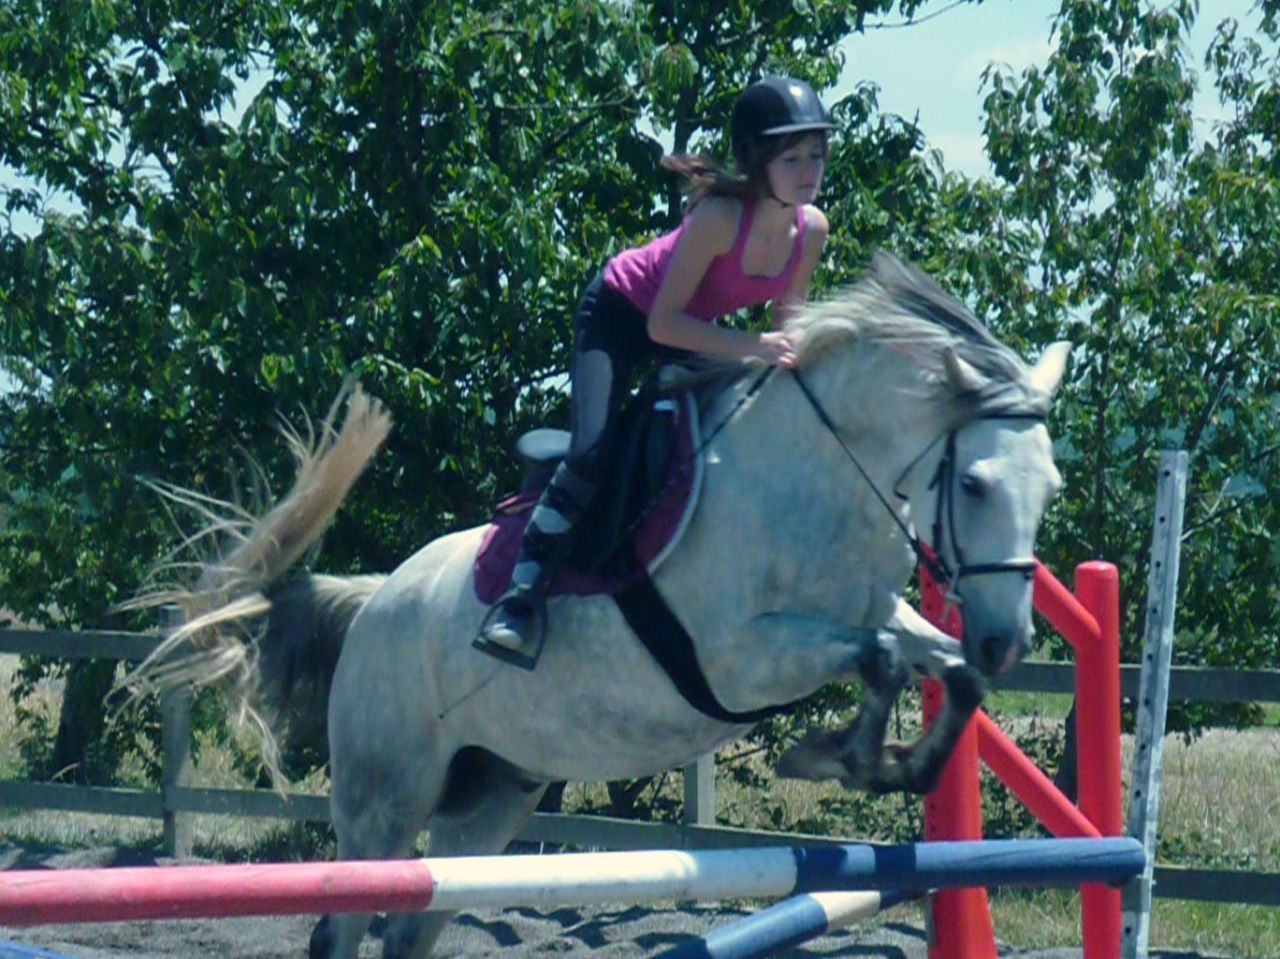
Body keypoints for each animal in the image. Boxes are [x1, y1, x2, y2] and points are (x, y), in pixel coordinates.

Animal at [126, 254, 1069, 959]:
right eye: (975, 483)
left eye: (1050, 486)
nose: (1005, 639)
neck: (824, 469)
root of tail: (372, 601)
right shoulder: (741, 658)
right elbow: (874, 658)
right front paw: (837, 756)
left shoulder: (872, 610)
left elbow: (933, 666)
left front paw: (890, 761)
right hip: (382, 797)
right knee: (346, 922)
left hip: (491, 802)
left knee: (413, 926)